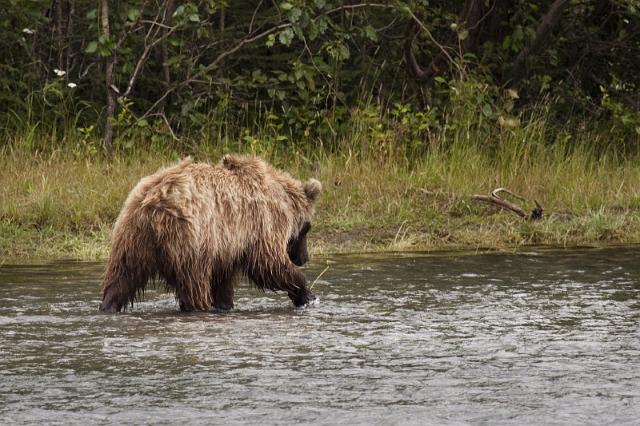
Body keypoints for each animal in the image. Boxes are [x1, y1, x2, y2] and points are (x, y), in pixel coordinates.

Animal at [99, 155, 320, 312]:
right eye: (307, 228)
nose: (304, 258)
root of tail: (152, 202)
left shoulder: (226, 247)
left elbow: (223, 281)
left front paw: (225, 304)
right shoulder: (262, 223)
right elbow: (269, 265)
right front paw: (307, 294)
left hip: (132, 235)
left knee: (122, 275)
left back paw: (108, 306)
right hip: (190, 238)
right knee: (194, 283)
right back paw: (198, 307)